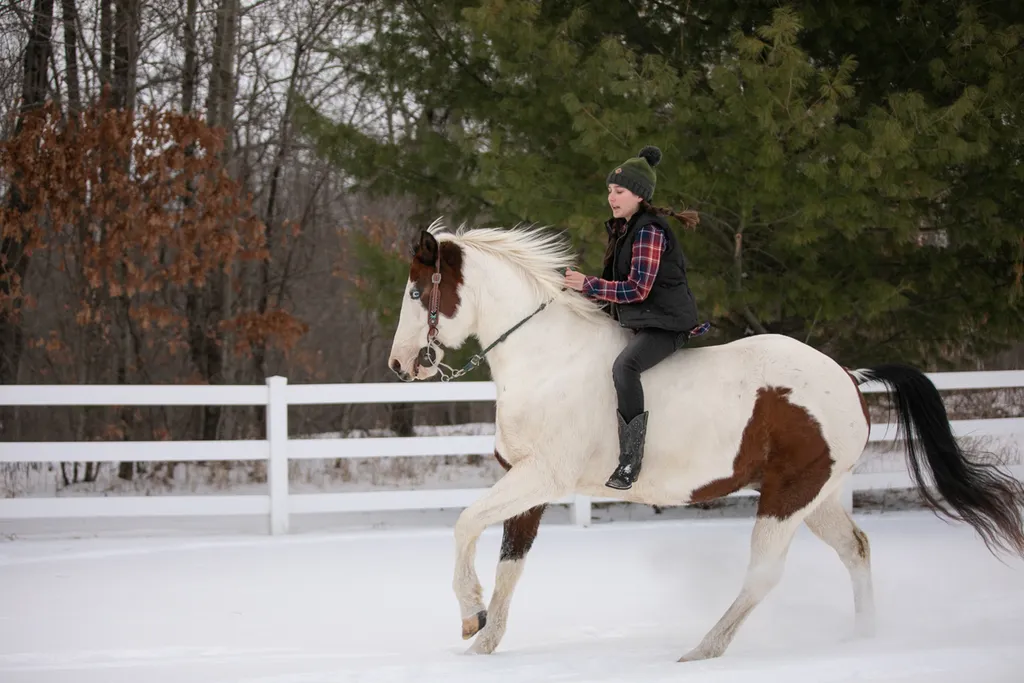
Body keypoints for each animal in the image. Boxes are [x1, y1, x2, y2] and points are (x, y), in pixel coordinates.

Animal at [386, 219, 1024, 661]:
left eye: (417, 293)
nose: (399, 365)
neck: (547, 360)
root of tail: (848, 376)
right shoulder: (527, 485)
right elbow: (510, 565)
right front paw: (483, 642)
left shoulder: (541, 477)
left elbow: (465, 524)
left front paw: (470, 615)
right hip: (816, 497)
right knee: (857, 549)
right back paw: (863, 638)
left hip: (787, 497)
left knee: (764, 575)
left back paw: (701, 651)